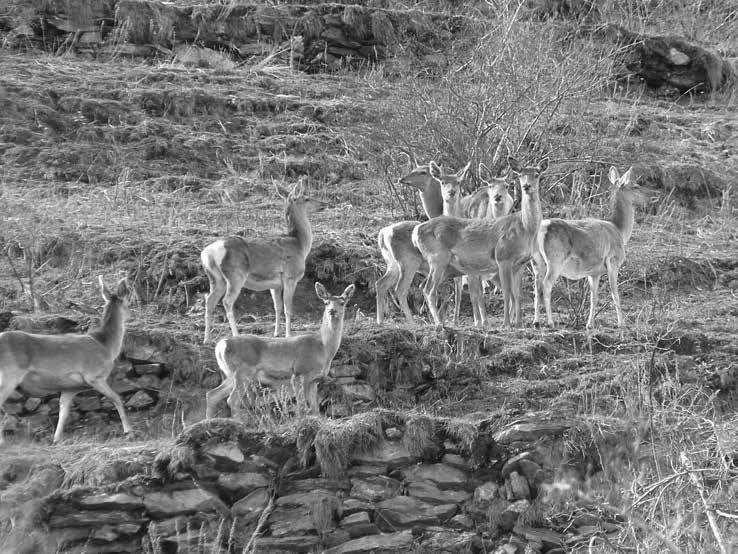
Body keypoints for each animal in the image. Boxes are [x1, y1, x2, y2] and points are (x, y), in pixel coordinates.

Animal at [0, 276, 132, 444]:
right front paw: (129, 431)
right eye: (128, 301)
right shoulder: (94, 376)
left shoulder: (70, 387)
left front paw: (56, 439)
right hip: (9, 374)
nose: (132, 313)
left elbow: (63, 412)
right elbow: (117, 398)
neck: (106, 346)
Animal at [198, 178, 322, 340]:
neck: (300, 245)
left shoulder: (275, 284)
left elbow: (277, 307)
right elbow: (288, 308)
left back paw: (207, 339)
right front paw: (288, 335)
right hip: (235, 275)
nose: (323, 204)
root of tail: (208, 253)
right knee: (227, 301)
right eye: (307, 198)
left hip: (215, 278)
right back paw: (236, 335)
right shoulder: (290, 277)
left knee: (209, 301)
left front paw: (276, 333)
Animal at [204, 282, 354, 416]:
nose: (332, 311)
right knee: (232, 400)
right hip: (243, 371)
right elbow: (302, 407)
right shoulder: (299, 373)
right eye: (326, 302)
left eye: (342, 302)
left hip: (231, 374)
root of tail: (221, 345)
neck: (323, 348)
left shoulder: (315, 380)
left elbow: (315, 410)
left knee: (212, 394)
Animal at [412, 155, 548, 328]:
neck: (525, 228)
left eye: (537, 174)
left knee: (427, 287)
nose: (526, 186)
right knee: (429, 289)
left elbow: (517, 294)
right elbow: (506, 292)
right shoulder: (502, 257)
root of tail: (416, 232)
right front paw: (506, 324)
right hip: (438, 258)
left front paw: (519, 324)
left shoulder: (521, 263)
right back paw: (439, 323)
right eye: (520, 175)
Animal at [532, 164, 640, 328]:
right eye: (635, 186)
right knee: (546, 285)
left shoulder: (594, 272)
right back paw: (550, 322)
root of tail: (542, 230)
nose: (651, 198)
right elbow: (615, 294)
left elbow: (593, 297)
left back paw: (536, 321)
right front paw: (622, 324)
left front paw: (590, 324)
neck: (620, 231)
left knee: (537, 287)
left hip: (536, 263)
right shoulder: (613, 262)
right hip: (555, 261)